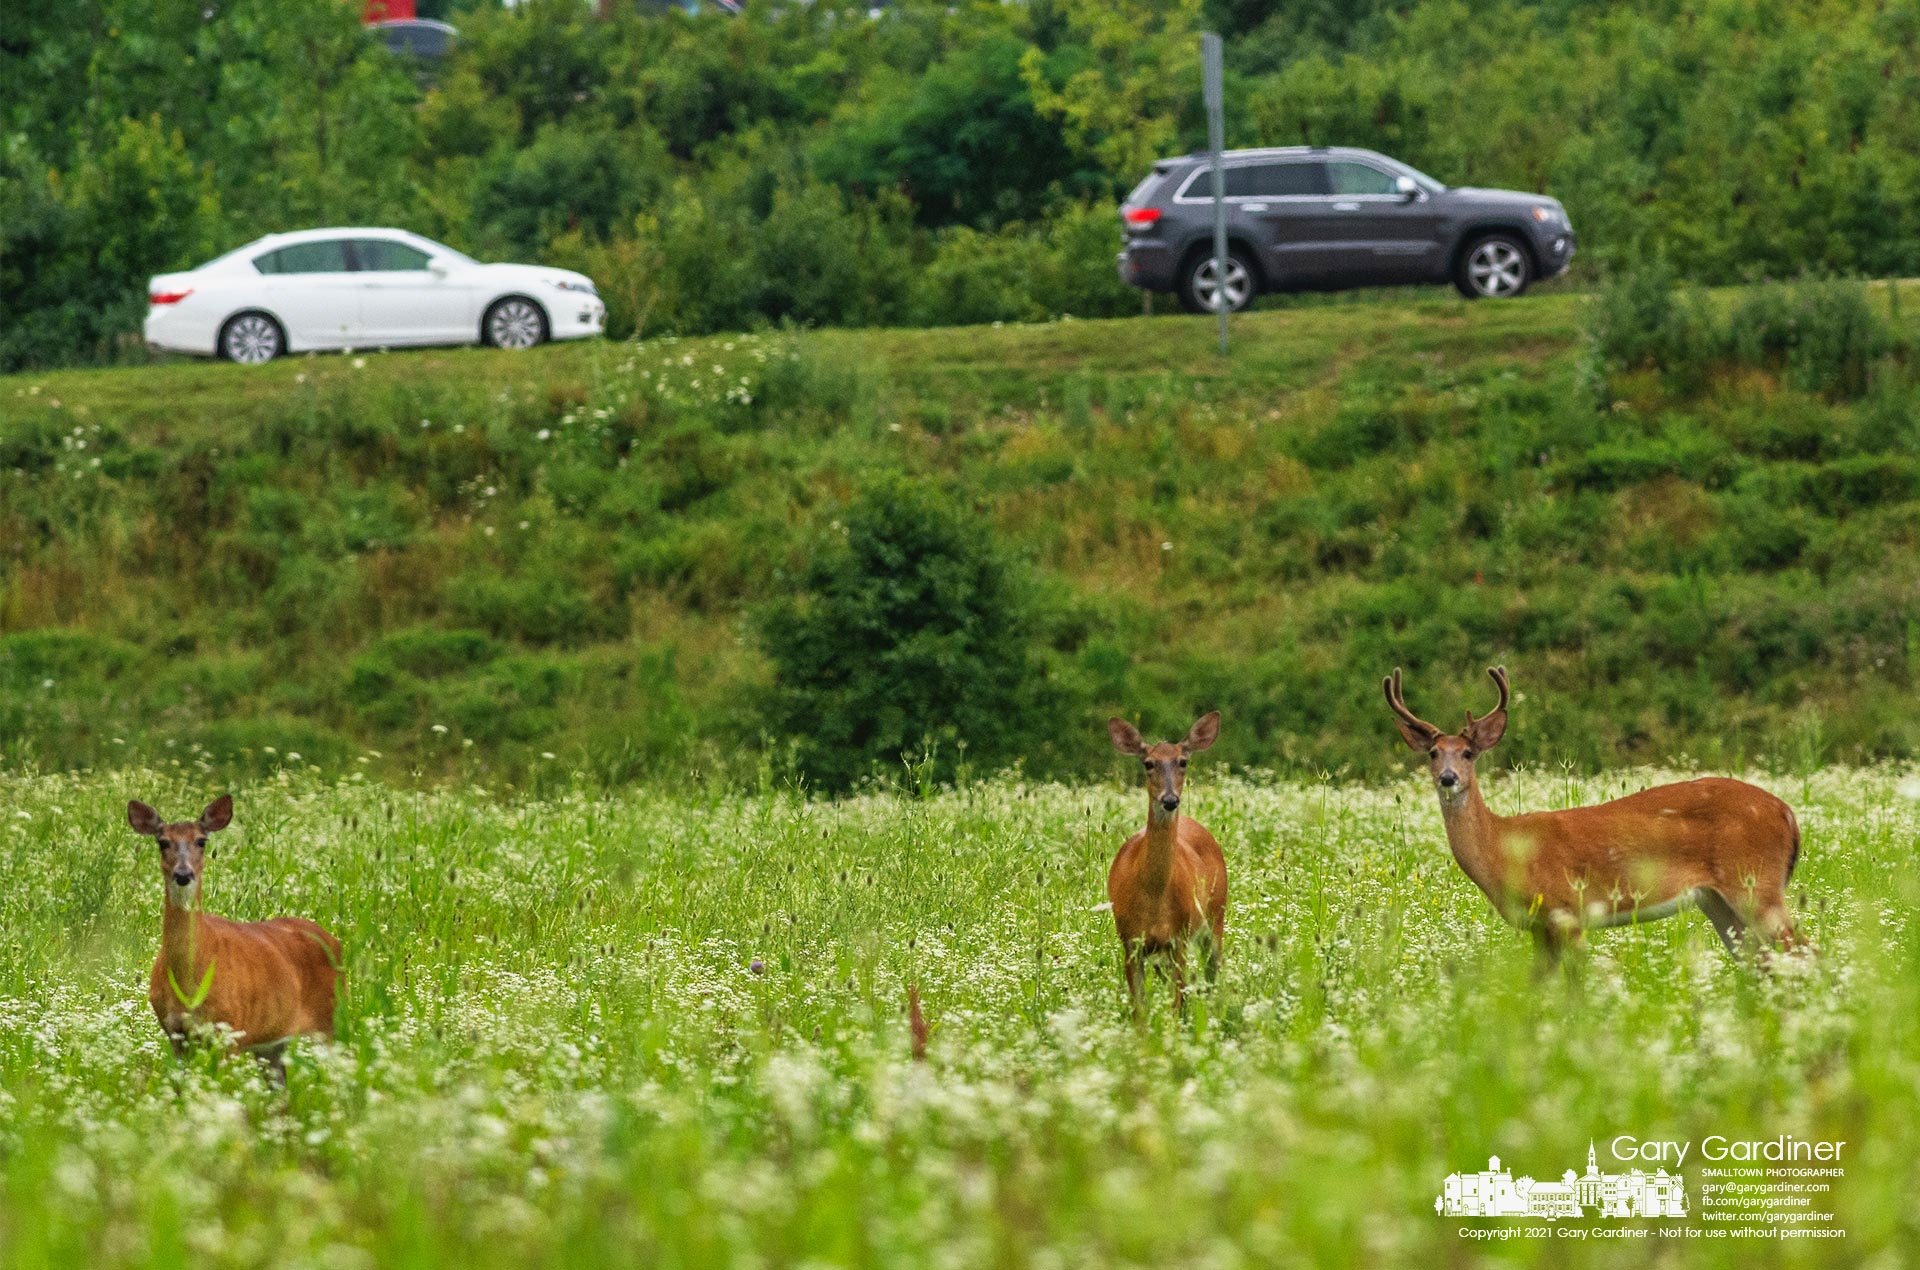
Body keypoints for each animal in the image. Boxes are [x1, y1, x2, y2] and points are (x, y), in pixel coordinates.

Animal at [129, 795, 342, 1075]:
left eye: (201, 840)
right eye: (162, 842)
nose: (183, 875)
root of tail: (334, 941)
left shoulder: (230, 1029)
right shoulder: (175, 1033)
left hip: (331, 1021)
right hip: (272, 1044)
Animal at [1106, 711, 1227, 1019]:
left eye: (1183, 761)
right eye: (1148, 763)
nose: (1170, 800)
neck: (1152, 896)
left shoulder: (1179, 939)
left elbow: (1176, 1005)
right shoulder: (1129, 941)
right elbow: (1139, 1010)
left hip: (1216, 915)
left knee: (1213, 973)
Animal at [1384, 666, 1804, 966]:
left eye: (1468, 754)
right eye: (1433, 753)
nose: (1448, 778)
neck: (1503, 847)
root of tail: (1787, 813)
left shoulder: (1566, 910)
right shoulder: (1540, 928)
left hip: (1756, 884)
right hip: (1718, 901)